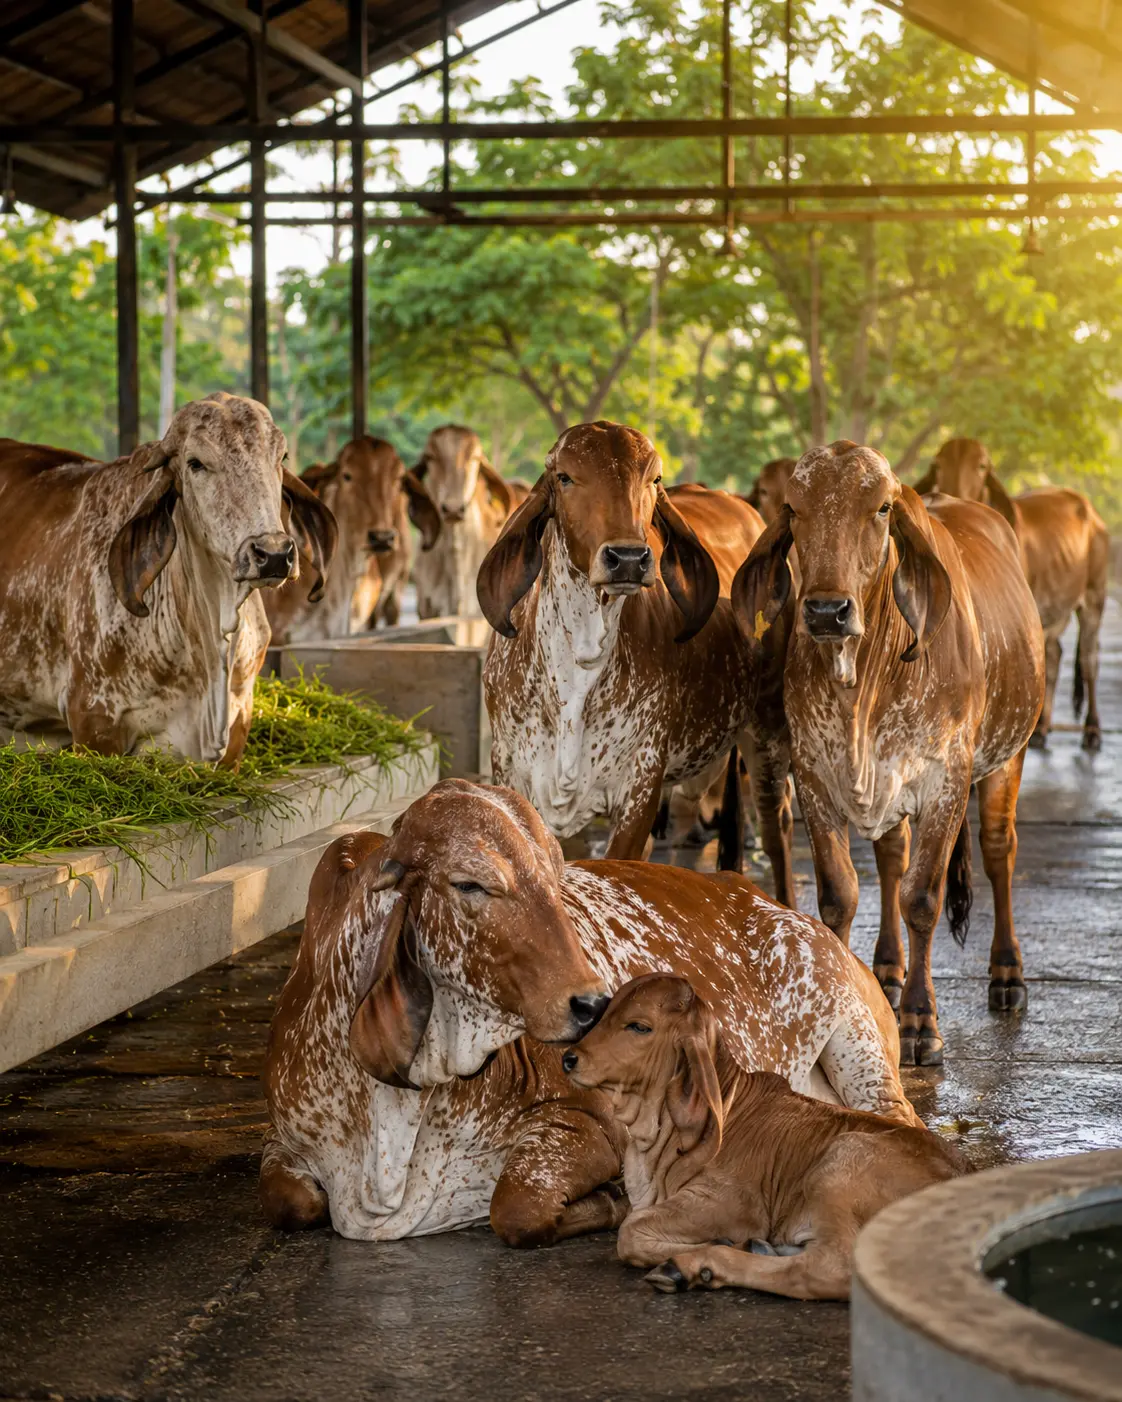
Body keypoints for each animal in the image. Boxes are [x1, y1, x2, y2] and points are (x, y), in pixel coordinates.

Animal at [261, 780, 919, 1244]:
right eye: (470, 884)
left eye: (558, 879)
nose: (594, 1003)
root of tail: (764, 898)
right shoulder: (284, 1140)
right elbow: (291, 1202)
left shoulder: (587, 1122)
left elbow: (517, 1206)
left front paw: (613, 1201)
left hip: (854, 1037)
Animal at [477, 423, 795, 901]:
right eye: (565, 477)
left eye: (653, 479)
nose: (627, 558)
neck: (579, 664)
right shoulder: (511, 770)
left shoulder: (640, 786)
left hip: (768, 728)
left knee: (778, 830)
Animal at [564, 973, 962, 1299]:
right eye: (606, 1013)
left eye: (639, 1026)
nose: (570, 1058)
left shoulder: (731, 1202)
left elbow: (628, 1233)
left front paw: (714, 1245)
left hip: (842, 1160)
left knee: (828, 1269)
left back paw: (698, 1264)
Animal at [734, 440, 1045, 1066]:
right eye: (794, 508)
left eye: (880, 508)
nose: (826, 611)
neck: (863, 684)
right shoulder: (814, 774)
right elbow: (839, 895)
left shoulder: (945, 781)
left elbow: (921, 897)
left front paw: (920, 1023)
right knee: (891, 854)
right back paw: (886, 968)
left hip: (1007, 756)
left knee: (998, 851)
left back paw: (1006, 973)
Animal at [914, 437, 1109, 751]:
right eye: (938, 465)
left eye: (982, 466)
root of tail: (1090, 511)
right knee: (1054, 654)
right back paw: (1042, 728)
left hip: (1094, 597)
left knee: (1090, 659)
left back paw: (1092, 730)